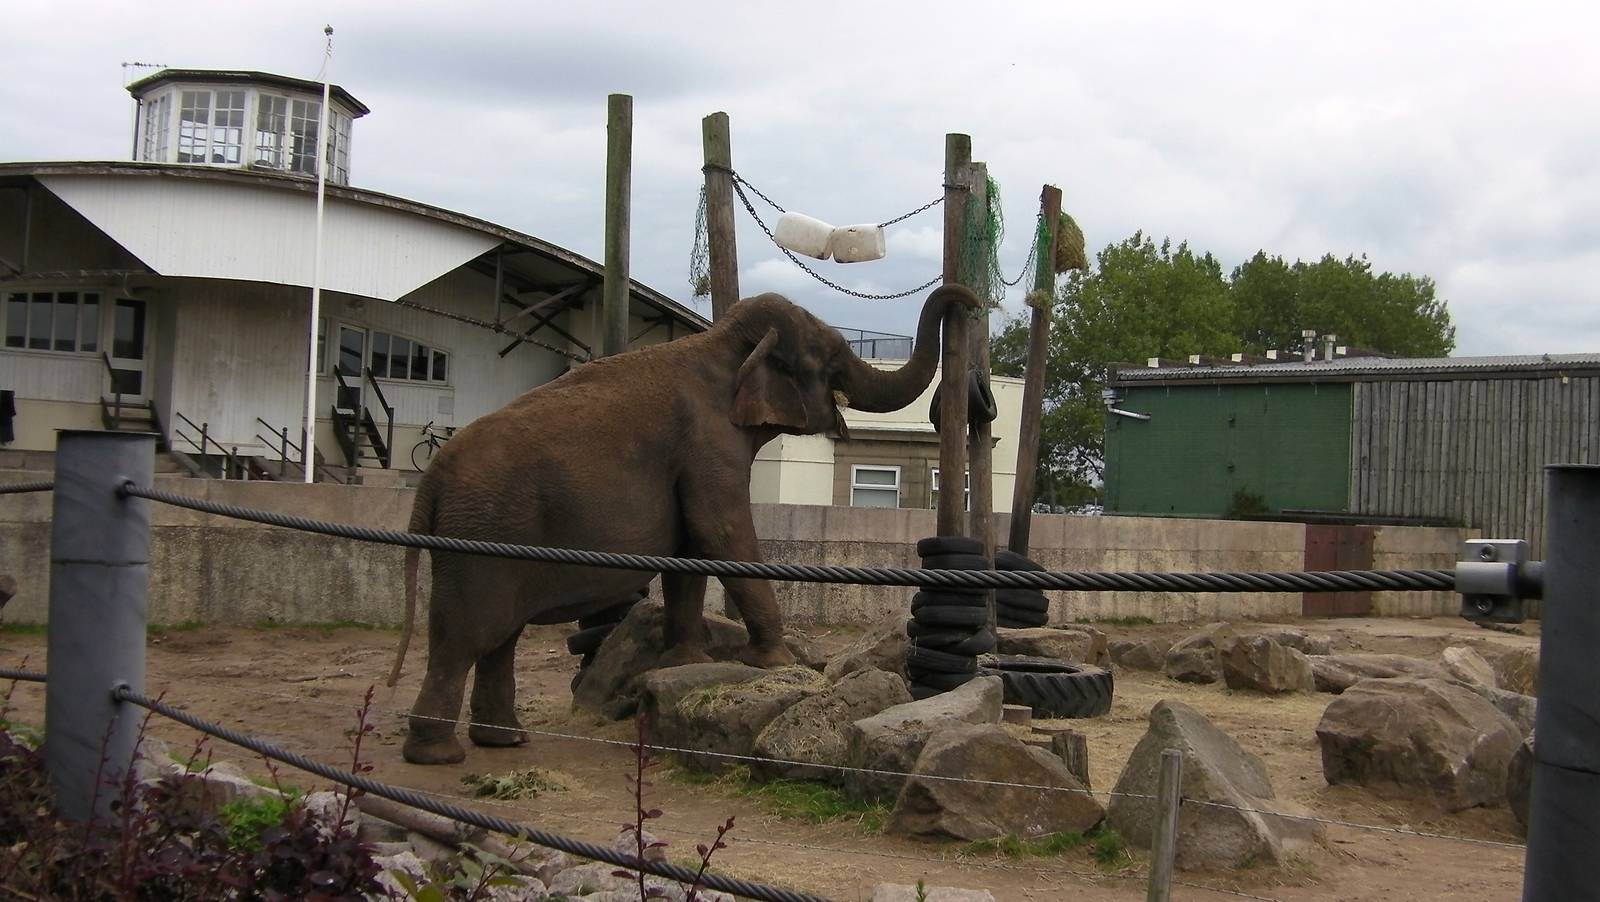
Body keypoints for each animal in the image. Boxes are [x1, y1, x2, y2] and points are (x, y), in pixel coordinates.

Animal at [388, 284, 979, 765]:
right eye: (830, 359)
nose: (970, 302)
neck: (721, 345)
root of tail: (431, 477)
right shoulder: (709, 444)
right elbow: (722, 532)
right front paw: (777, 663)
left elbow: (690, 550)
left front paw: (685, 661)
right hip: (481, 534)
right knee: (465, 636)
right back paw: (438, 755)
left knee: (498, 640)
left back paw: (504, 741)